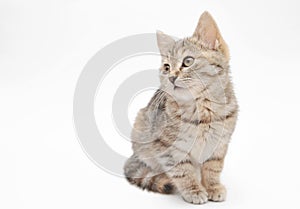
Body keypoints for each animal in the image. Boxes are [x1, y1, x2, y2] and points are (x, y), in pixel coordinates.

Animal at [123, 11, 238, 204]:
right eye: (166, 67)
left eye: (188, 61)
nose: (171, 77)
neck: (202, 109)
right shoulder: (167, 147)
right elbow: (182, 170)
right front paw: (193, 190)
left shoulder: (219, 144)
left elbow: (213, 167)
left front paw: (213, 186)